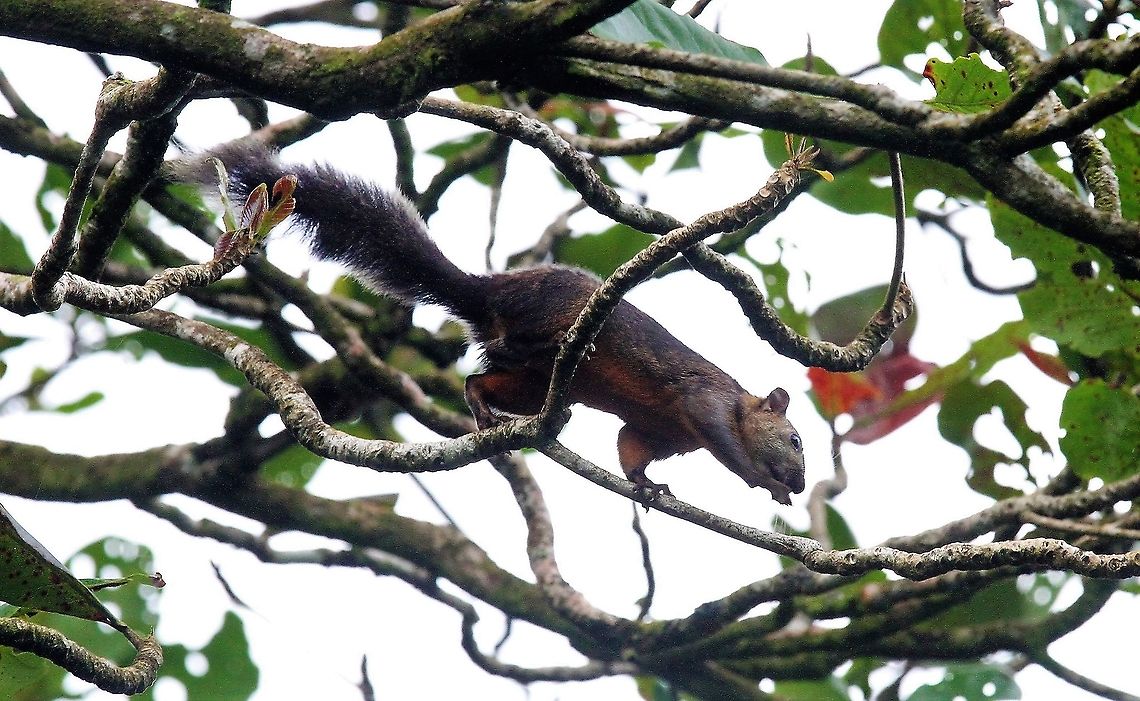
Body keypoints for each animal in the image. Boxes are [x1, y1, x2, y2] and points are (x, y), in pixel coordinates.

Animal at [176, 142, 806, 504]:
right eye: (797, 440)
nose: (801, 481)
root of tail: (488, 292)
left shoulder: (654, 430)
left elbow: (630, 449)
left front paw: (647, 486)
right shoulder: (703, 401)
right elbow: (722, 439)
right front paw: (763, 481)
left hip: (534, 388)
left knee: (484, 380)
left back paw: (484, 408)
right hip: (546, 322)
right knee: (513, 350)